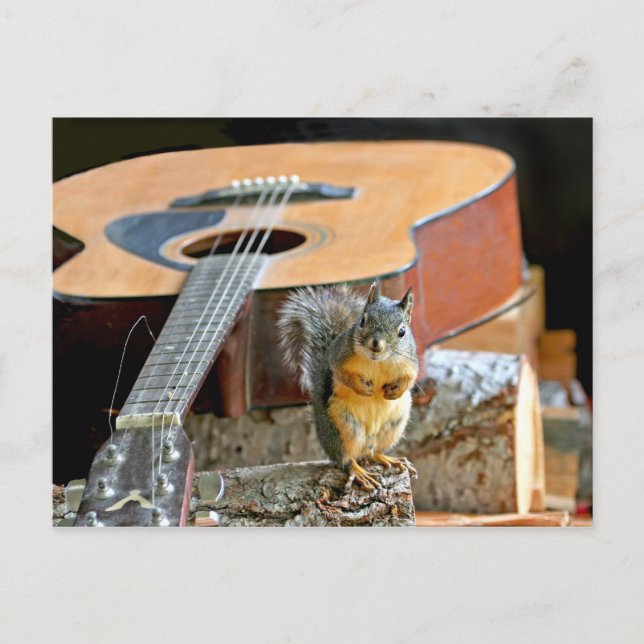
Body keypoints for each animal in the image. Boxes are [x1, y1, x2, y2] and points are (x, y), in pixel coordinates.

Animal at [277, 281, 419, 490]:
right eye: (362, 321)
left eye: (402, 331)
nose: (376, 344)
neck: (378, 361)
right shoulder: (338, 355)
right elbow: (341, 374)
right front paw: (363, 388)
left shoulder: (410, 361)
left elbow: (411, 378)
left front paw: (395, 391)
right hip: (343, 428)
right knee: (345, 459)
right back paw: (358, 472)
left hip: (394, 426)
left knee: (372, 452)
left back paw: (389, 459)